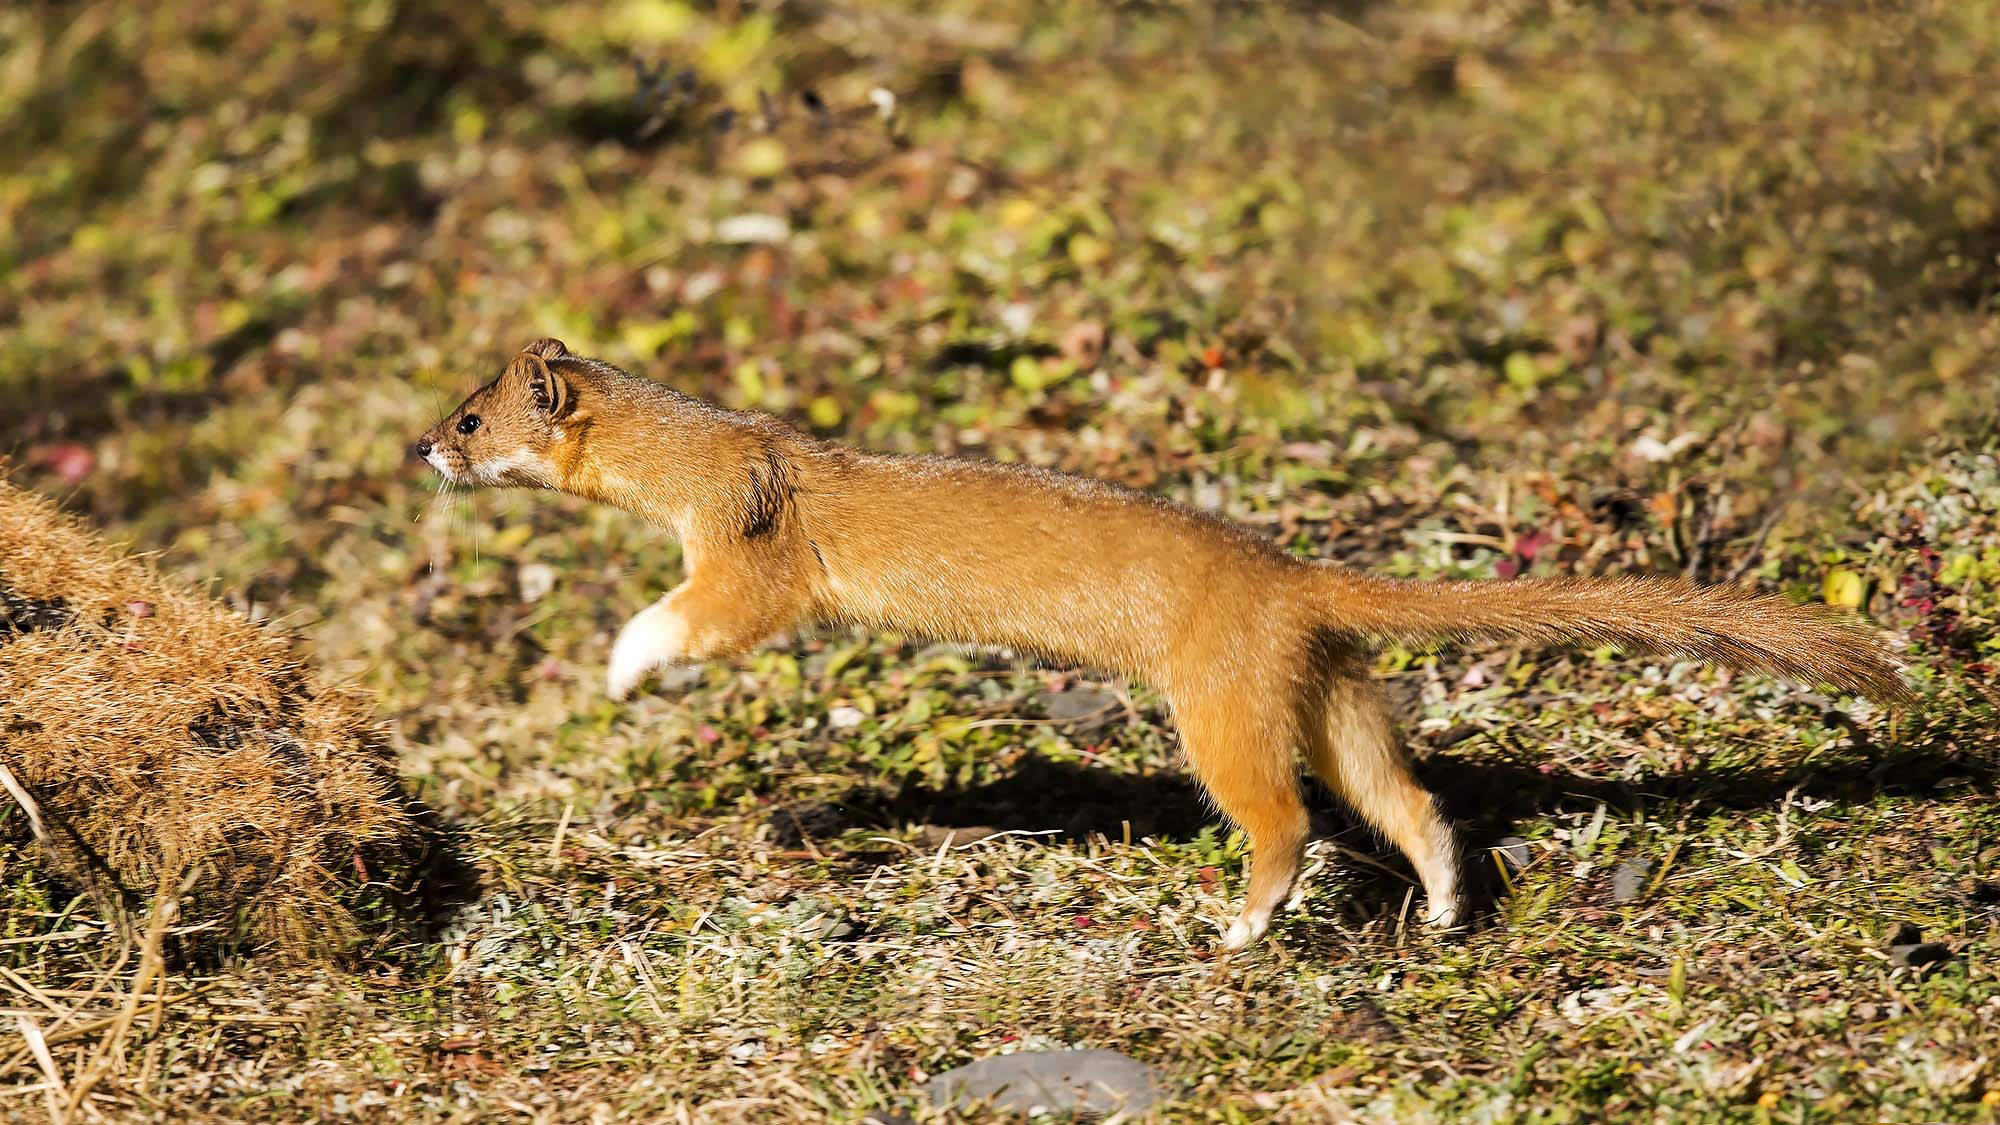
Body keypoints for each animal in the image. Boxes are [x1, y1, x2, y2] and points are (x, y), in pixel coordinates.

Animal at [418, 334, 1904, 944]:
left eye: (471, 416)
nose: (417, 448)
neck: (711, 452)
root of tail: (1292, 574)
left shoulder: (749, 546)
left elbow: (710, 614)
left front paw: (621, 664)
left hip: (1218, 697)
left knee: (1284, 818)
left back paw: (1243, 926)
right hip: (1327, 685)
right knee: (1404, 797)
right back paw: (1438, 903)